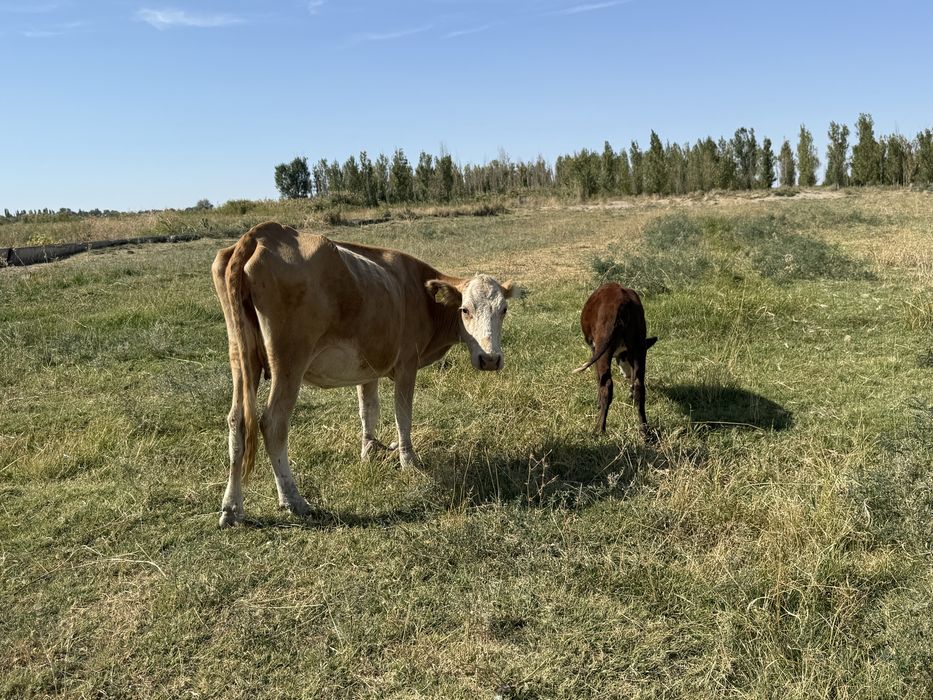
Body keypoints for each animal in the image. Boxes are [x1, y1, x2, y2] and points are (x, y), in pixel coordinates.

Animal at [211, 222, 519, 527]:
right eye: (465, 310)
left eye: (504, 310)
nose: (490, 359)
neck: (421, 296)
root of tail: (265, 232)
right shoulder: (407, 363)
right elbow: (402, 415)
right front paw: (408, 461)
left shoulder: (368, 366)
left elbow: (368, 410)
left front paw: (369, 451)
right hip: (289, 360)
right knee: (274, 423)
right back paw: (293, 499)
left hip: (242, 356)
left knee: (237, 421)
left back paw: (232, 508)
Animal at [574, 282, 657, 436]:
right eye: (623, 357)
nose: (627, 374)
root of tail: (622, 300)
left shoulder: (595, 349)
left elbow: (598, 378)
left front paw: (598, 402)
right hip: (639, 344)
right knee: (639, 386)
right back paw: (644, 431)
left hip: (604, 344)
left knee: (607, 384)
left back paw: (599, 429)